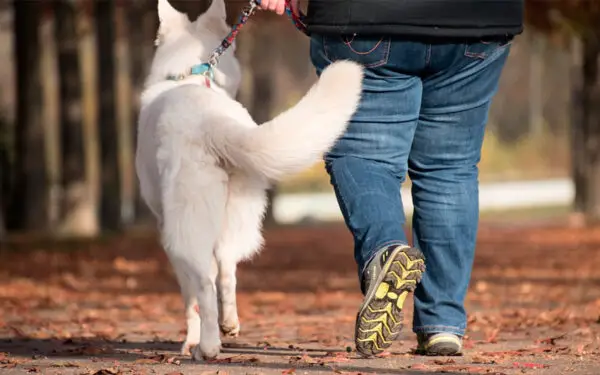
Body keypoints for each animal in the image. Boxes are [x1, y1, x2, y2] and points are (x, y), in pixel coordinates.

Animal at [134, 0, 364, 362]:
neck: (191, 75)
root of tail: (210, 123)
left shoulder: (165, 227)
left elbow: (189, 298)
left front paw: (189, 341)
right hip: (237, 214)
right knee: (227, 270)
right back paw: (228, 325)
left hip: (184, 230)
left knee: (204, 283)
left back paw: (206, 347)